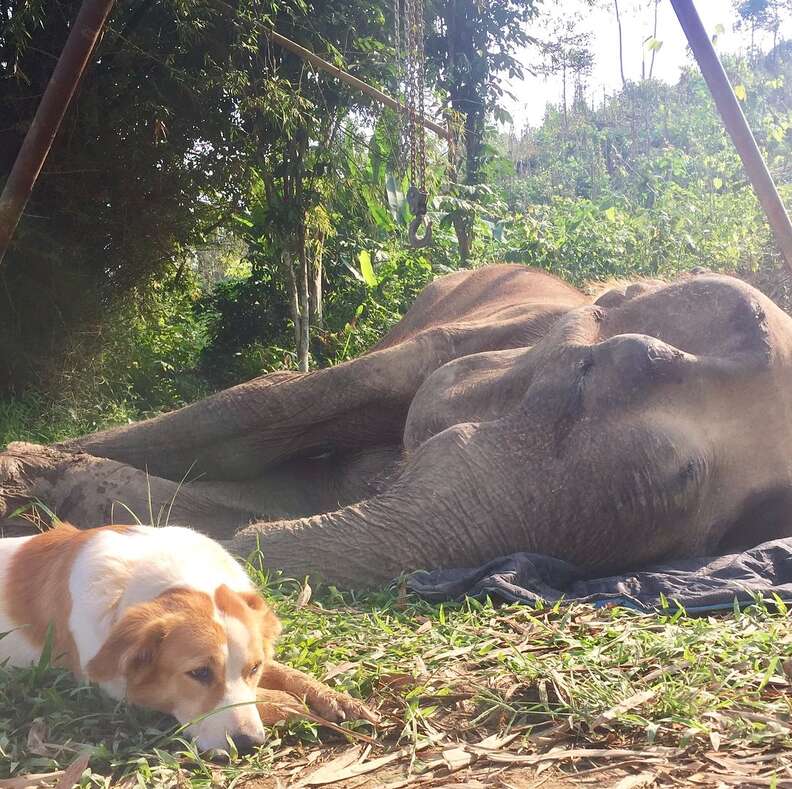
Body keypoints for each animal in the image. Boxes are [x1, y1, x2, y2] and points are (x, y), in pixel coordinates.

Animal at [0, 524, 376, 752]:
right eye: (199, 673)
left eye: (253, 668)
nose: (250, 743)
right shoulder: (118, 689)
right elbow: (280, 699)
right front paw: (292, 705)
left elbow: (287, 673)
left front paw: (333, 697)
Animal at [1, 264, 792, 584]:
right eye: (592, 373)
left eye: (738, 527)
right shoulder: (459, 339)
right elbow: (266, 402)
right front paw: (25, 470)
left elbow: (286, 496)